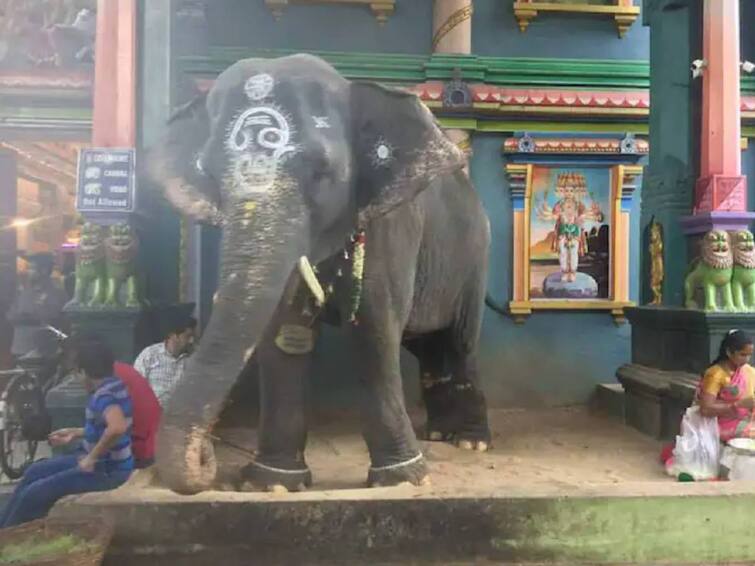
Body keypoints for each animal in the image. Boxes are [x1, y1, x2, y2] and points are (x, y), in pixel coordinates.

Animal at [148, 55, 494, 494]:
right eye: (210, 174)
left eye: (321, 171)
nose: (208, 457)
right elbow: (284, 334)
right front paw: (272, 483)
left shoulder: (390, 224)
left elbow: (374, 330)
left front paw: (402, 479)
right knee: (428, 346)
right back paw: (438, 433)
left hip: (475, 254)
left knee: (461, 341)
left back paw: (471, 442)